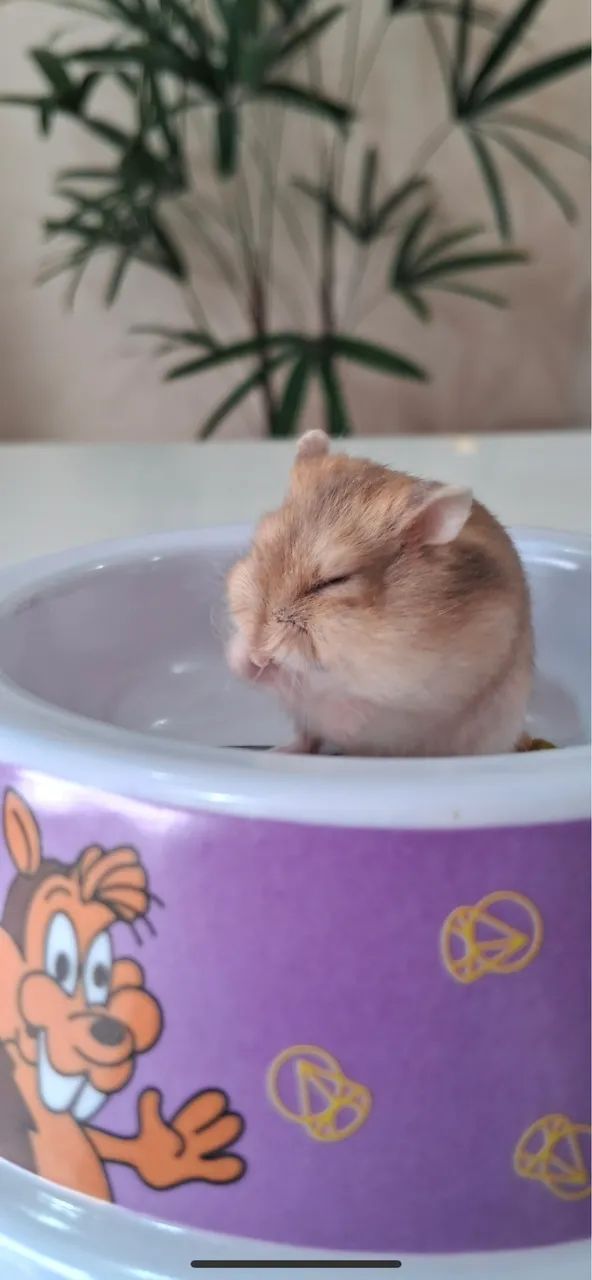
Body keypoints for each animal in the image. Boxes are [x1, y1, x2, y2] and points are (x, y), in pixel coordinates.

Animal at [226, 430, 533, 758]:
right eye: (259, 549)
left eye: (333, 581)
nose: (258, 653)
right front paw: (242, 655)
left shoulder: (398, 695)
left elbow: (320, 690)